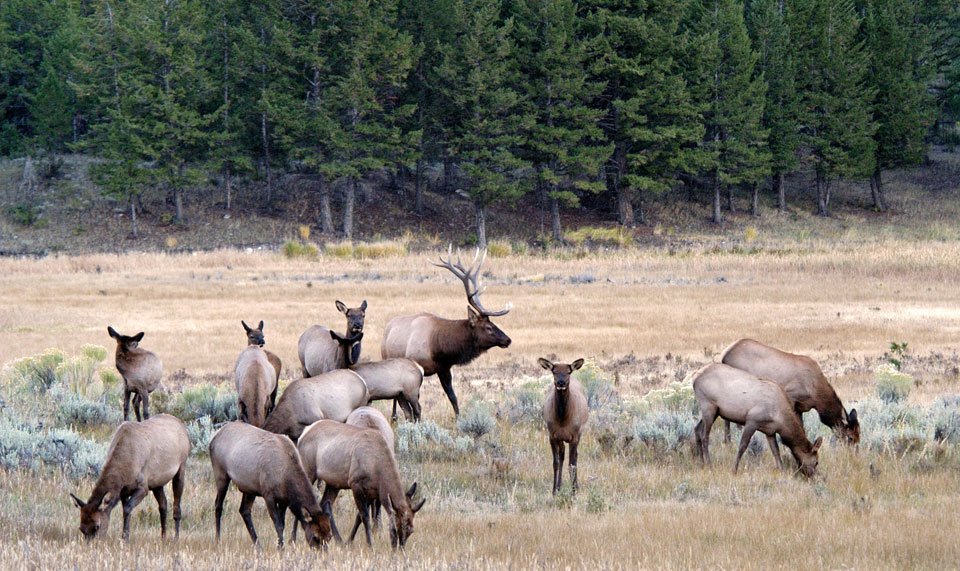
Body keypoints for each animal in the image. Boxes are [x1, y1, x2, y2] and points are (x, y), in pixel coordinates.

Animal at [296, 420, 424, 548]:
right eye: (395, 529)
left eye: (411, 531)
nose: (399, 549)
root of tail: (304, 432)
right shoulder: (355, 484)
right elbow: (365, 516)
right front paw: (370, 545)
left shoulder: (372, 492)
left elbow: (359, 516)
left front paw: (349, 541)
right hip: (308, 470)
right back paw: (293, 538)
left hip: (334, 483)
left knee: (324, 503)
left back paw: (339, 540)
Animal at [380, 246, 512, 416]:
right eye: (488, 327)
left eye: (493, 323)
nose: (507, 339)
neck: (438, 348)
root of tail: (387, 327)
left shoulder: (444, 368)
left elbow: (452, 397)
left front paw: (458, 418)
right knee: (396, 397)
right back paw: (394, 417)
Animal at [540, 360, 592, 494]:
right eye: (554, 371)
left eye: (568, 371)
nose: (561, 383)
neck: (563, 418)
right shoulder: (552, 436)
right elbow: (556, 463)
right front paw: (554, 490)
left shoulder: (574, 437)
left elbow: (571, 465)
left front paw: (573, 492)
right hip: (561, 439)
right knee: (562, 455)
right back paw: (559, 486)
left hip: (579, 433)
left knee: (575, 457)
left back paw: (575, 486)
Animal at [688, 366, 824, 478]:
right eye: (816, 462)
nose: (812, 476)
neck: (780, 418)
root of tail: (694, 376)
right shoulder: (752, 421)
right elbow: (742, 446)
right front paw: (734, 470)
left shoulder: (770, 431)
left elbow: (776, 451)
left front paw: (782, 471)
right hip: (708, 406)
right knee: (705, 436)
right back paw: (709, 465)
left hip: (714, 411)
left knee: (697, 429)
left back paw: (701, 463)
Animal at [720, 340, 864, 446]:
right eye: (850, 437)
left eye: (859, 435)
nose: (852, 455)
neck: (817, 395)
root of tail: (724, 355)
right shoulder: (791, 395)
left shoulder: (800, 407)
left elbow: (802, 427)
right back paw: (729, 441)